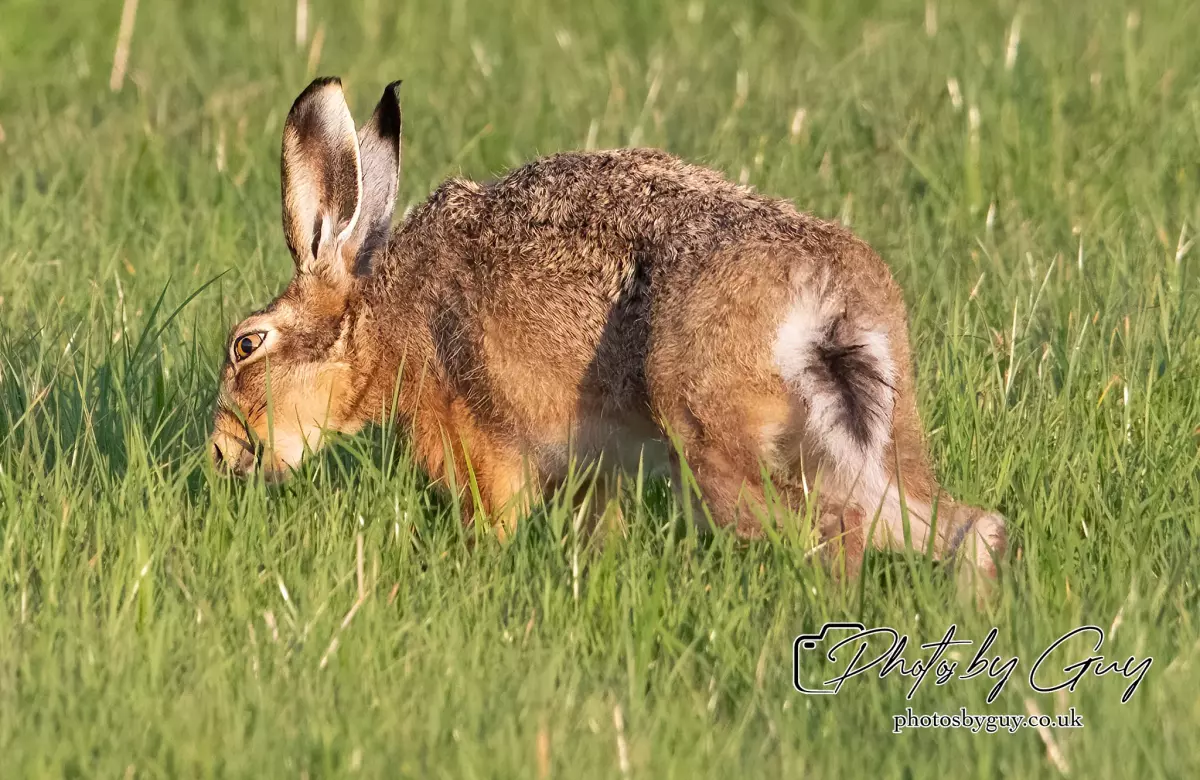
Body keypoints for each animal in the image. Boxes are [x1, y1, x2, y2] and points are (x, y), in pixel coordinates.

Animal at [210, 76, 1007, 588]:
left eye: (248, 344)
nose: (222, 453)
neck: (378, 322)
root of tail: (824, 292)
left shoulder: (477, 444)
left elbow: (493, 522)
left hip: (711, 439)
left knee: (831, 534)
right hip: (863, 440)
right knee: (966, 527)